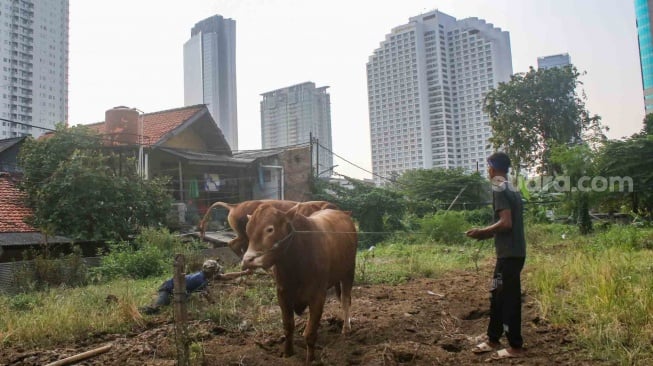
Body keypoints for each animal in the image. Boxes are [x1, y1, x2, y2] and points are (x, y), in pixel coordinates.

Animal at [242, 203, 356, 364]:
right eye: (248, 230)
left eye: (270, 229)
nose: (247, 260)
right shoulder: (282, 294)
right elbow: (288, 326)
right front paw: (288, 354)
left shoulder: (318, 296)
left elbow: (310, 332)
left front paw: (311, 359)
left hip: (349, 272)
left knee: (346, 300)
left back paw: (346, 328)